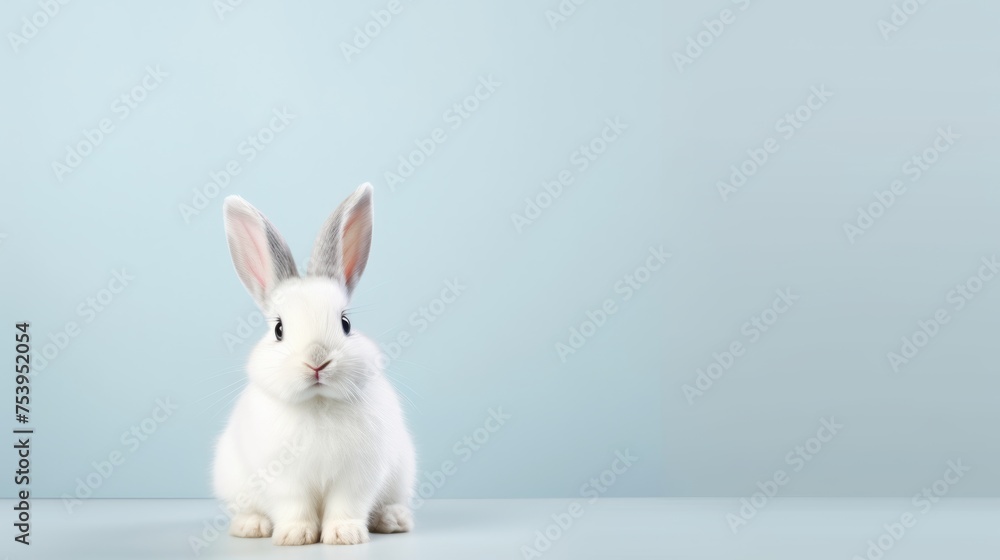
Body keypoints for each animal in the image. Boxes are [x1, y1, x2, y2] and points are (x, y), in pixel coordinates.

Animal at [212, 183, 415, 546]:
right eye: (278, 329)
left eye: (346, 323)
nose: (317, 361)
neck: (318, 403)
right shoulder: (283, 480)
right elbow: (294, 506)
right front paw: (295, 536)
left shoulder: (357, 476)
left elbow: (347, 504)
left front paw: (345, 535)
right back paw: (251, 526)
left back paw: (392, 519)